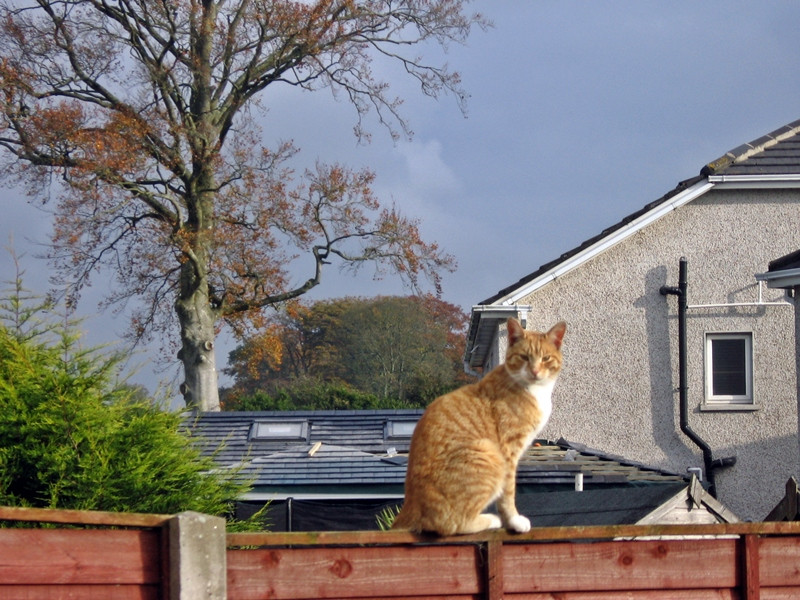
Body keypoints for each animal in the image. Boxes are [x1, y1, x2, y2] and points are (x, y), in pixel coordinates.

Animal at [390, 318, 564, 536]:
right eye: (524, 357)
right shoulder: (508, 451)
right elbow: (508, 493)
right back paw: (491, 520)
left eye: (546, 358)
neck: (534, 390)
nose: (535, 371)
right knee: (451, 524)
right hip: (488, 452)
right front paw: (514, 521)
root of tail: (409, 505)